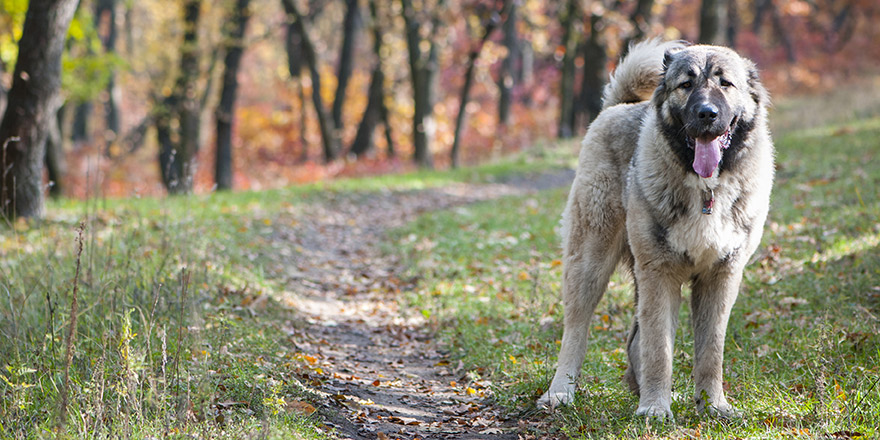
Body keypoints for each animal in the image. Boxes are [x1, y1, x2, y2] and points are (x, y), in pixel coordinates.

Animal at [540, 38, 772, 420]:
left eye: (725, 84)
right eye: (686, 84)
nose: (707, 113)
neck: (706, 190)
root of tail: (619, 106)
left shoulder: (720, 278)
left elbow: (711, 351)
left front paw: (712, 405)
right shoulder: (660, 275)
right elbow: (658, 350)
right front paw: (654, 409)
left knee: (634, 339)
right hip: (590, 262)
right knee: (576, 329)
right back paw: (561, 392)